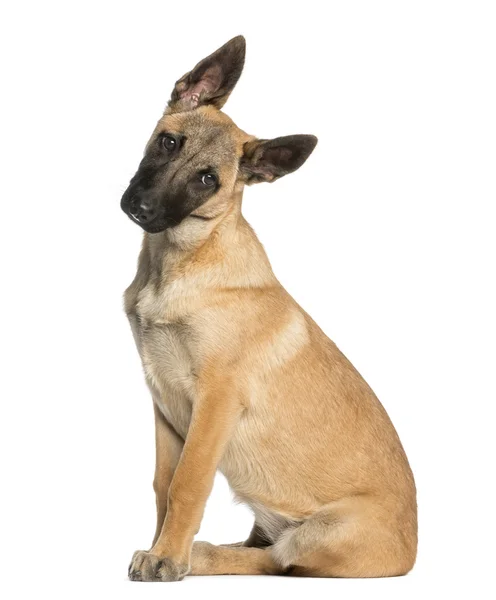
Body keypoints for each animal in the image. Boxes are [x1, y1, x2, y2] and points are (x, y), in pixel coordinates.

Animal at [122, 36, 416, 580]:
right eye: (169, 142)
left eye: (207, 180)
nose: (141, 209)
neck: (179, 261)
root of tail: (412, 552)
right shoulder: (163, 404)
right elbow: (162, 485)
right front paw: (159, 547)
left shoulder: (216, 400)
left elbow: (187, 483)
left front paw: (170, 556)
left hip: (323, 532)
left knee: (277, 560)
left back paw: (204, 554)